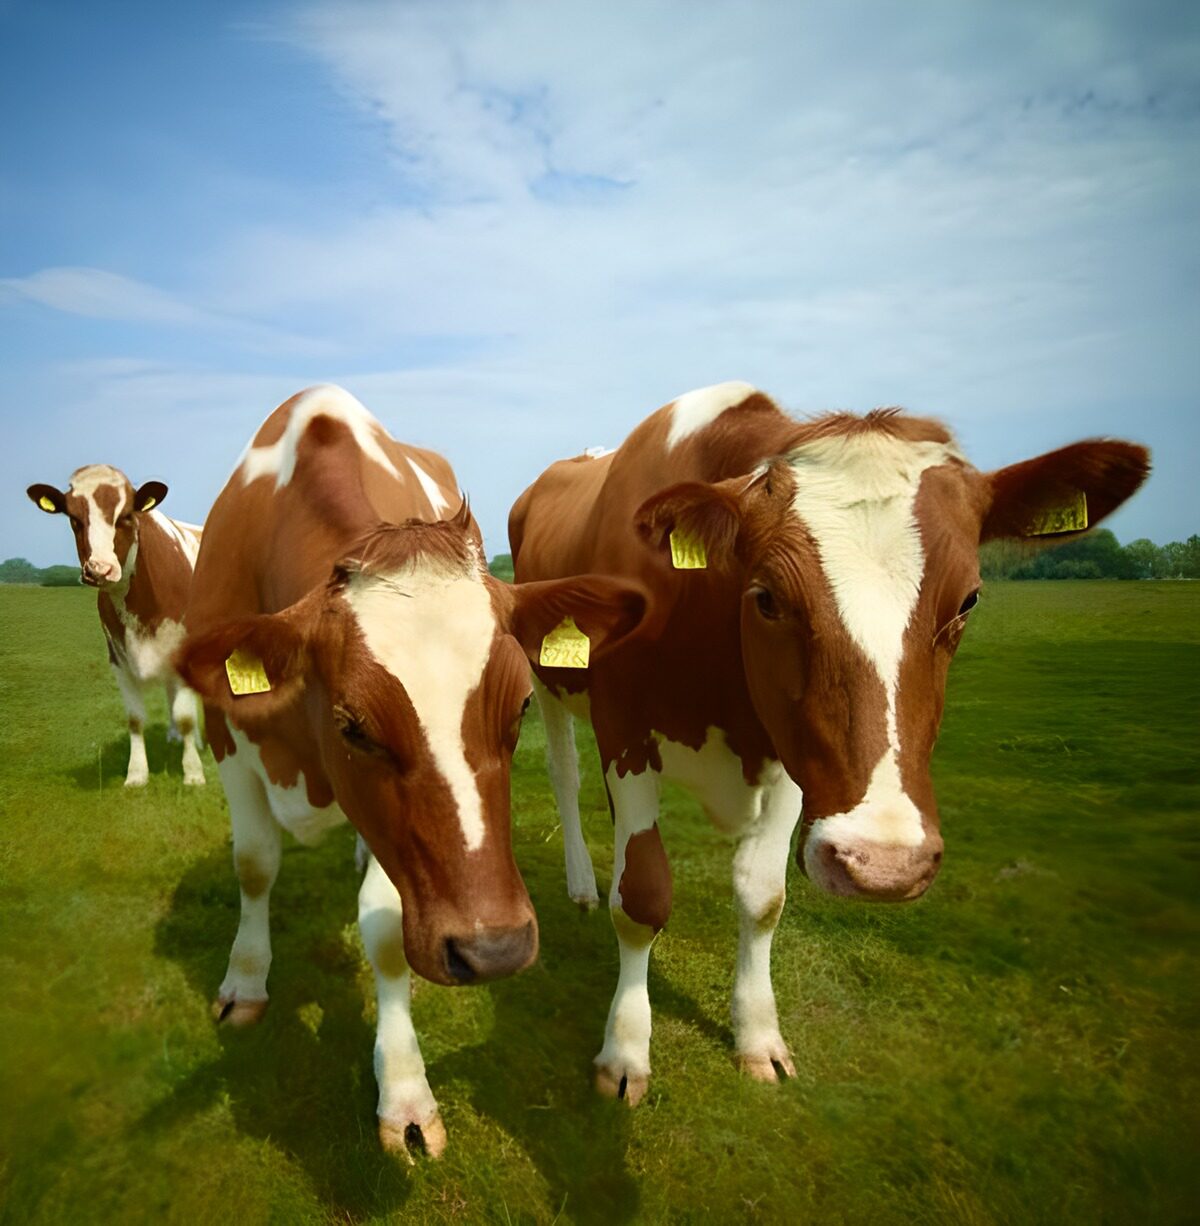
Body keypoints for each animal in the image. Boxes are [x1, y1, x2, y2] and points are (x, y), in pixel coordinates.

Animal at [27, 465, 206, 787]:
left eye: (127, 516)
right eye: (74, 519)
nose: (99, 569)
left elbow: (186, 715)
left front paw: (193, 773)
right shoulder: (118, 656)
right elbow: (135, 719)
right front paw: (136, 774)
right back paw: (176, 738)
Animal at [175, 385, 647, 1158]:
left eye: (520, 703)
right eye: (355, 727)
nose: (495, 948)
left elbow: (385, 927)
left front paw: (403, 1090)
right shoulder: (227, 736)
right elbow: (254, 865)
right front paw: (244, 982)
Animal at [509, 381, 1150, 1105]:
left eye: (968, 601)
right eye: (767, 597)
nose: (885, 864)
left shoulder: (797, 760)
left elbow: (763, 897)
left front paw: (759, 1037)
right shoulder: (624, 730)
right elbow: (642, 896)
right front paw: (624, 1052)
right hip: (549, 678)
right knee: (565, 776)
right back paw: (583, 884)